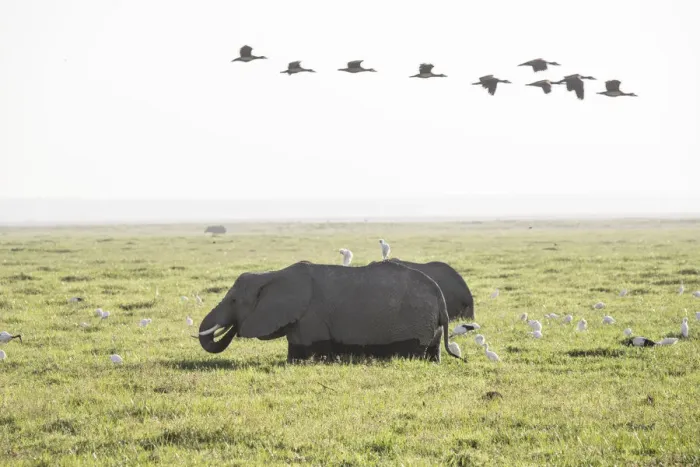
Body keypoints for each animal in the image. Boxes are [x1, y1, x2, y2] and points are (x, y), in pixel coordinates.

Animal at [198, 260, 463, 363]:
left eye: (233, 300)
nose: (232, 328)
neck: (272, 275)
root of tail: (439, 297)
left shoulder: (311, 316)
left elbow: (311, 351)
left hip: (414, 321)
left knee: (410, 351)